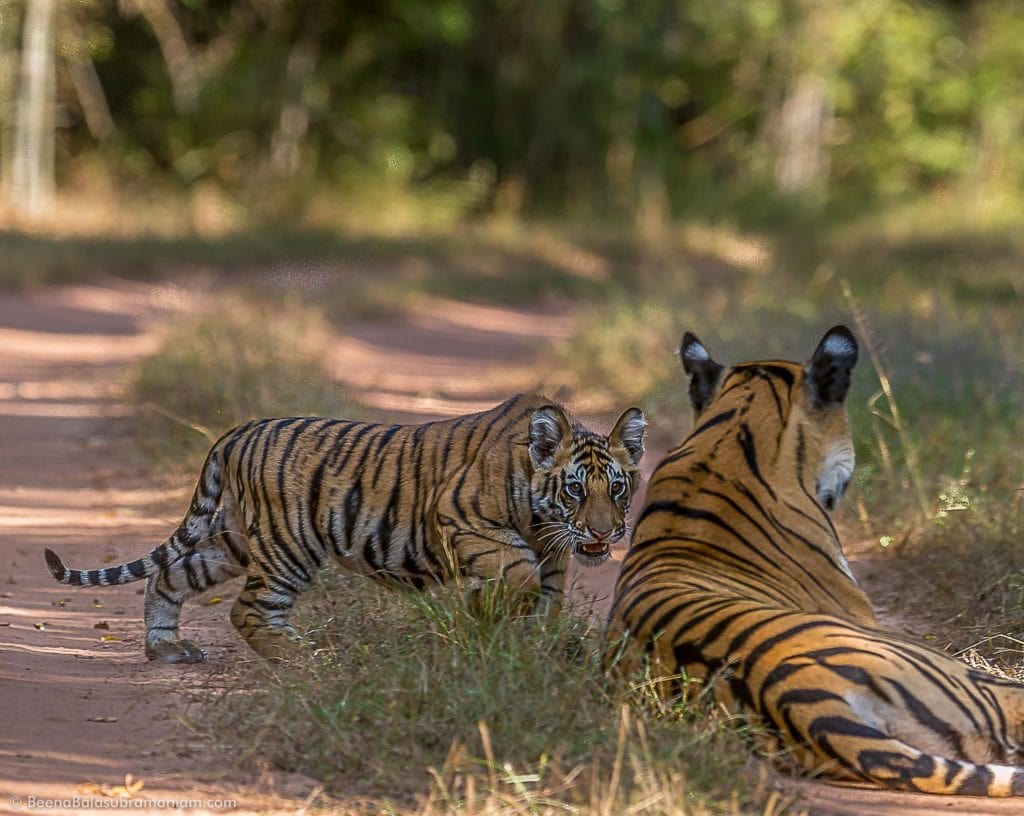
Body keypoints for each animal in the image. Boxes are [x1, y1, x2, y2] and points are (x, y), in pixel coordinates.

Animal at [48, 395, 643, 663]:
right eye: (575, 490)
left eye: (616, 489)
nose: (604, 533)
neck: (544, 520)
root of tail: (237, 432)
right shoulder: (461, 518)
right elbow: (517, 577)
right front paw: (487, 611)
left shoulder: (554, 554)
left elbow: (545, 602)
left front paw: (527, 650)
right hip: (288, 546)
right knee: (248, 610)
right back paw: (305, 659)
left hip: (234, 541)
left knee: (169, 576)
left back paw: (167, 648)